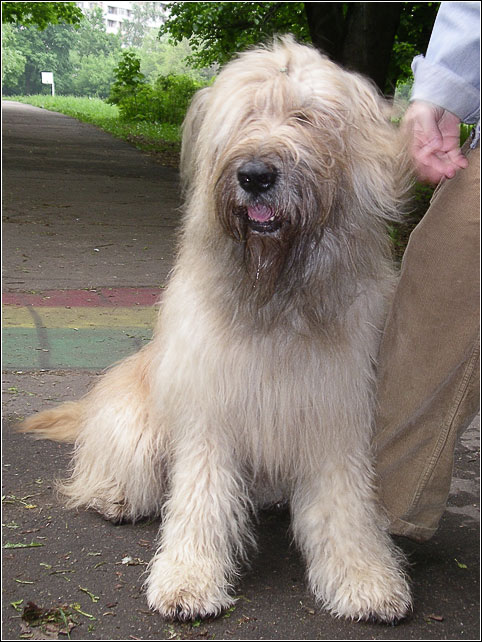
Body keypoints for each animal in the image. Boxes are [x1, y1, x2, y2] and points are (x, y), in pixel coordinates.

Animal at [21, 36, 412, 623]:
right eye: (245, 117)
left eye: (304, 116)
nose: (254, 175)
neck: (275, 299)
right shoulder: (211, 412)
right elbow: (200, 500)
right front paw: (188, 578)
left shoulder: (336, 414)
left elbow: (346, 507)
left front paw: (364, 577)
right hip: (135, 424)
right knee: (117, 468)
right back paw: (114, 496)